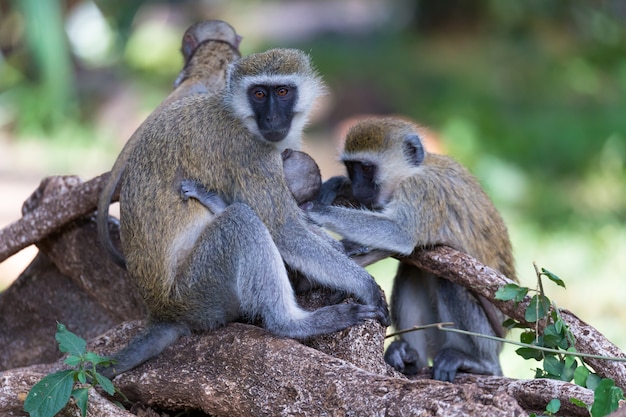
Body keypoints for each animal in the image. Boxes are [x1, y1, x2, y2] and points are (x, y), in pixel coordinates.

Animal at [102, 48, 388, 376]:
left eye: (282, 91)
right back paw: (292, 324)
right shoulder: (250, 152)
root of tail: (163, 311)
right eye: (259, 94)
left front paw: (344, 249)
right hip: (199, 292)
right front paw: (364, 284)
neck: (240, 116)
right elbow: (285, 231)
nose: (273, 117)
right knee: (241, 220)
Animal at [304, 116, 516, 380]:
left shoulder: (421, 190)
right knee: (411, 272)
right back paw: (409, 359)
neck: (413, 170)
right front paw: (337, 186)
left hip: (488, 337)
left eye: (366, 168)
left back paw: (481, 363)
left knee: (450, 282)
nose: (358, 186)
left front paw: (318, 210)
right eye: (351, 168)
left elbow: (399, 233)